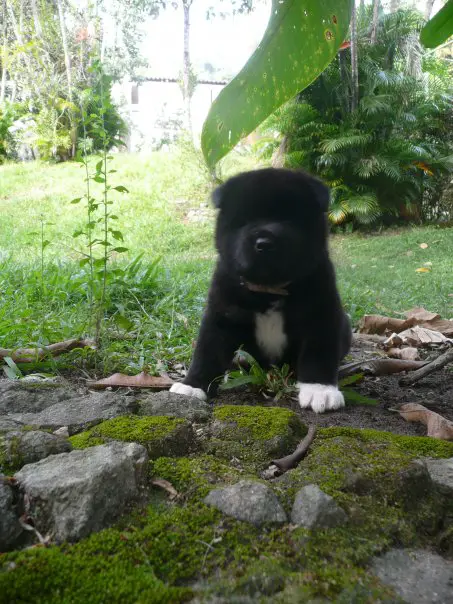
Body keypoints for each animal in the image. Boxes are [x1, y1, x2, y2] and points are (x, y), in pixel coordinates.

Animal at [170, 168, 350, 412]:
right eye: (245, 221)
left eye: (289, 218)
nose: (264, 243)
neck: (268, 290)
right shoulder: (221, 314)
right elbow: (207, 352)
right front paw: (192, 385)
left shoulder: (321, 314)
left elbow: (319, 353)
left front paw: (320, 390)